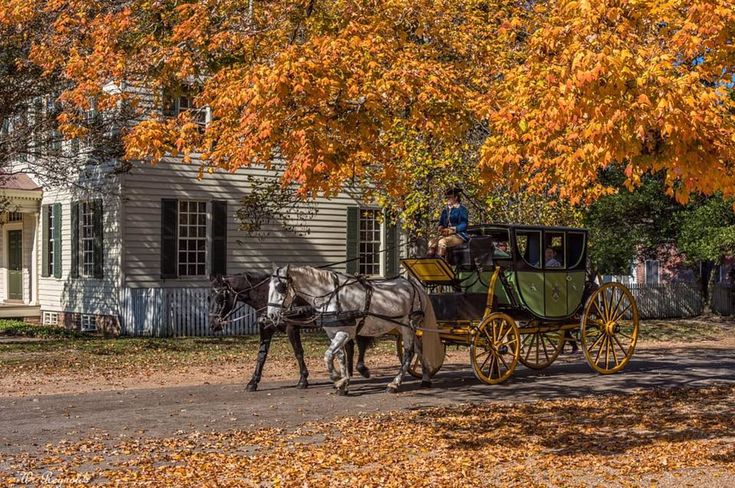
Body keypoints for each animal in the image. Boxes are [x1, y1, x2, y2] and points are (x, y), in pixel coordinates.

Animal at [268, 264, 442, 394]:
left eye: (280, 287)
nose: (271, 314)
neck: (331, 296)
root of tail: (415, 285)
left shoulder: (345, 332)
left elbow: (328, 355)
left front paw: (337, 378)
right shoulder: (333, 333)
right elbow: (339, 356)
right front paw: (343, 382)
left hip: (407, 326)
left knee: (409, 353)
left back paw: (395, 384)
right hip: (405, 326)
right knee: (420, 349)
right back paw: (425, 379)